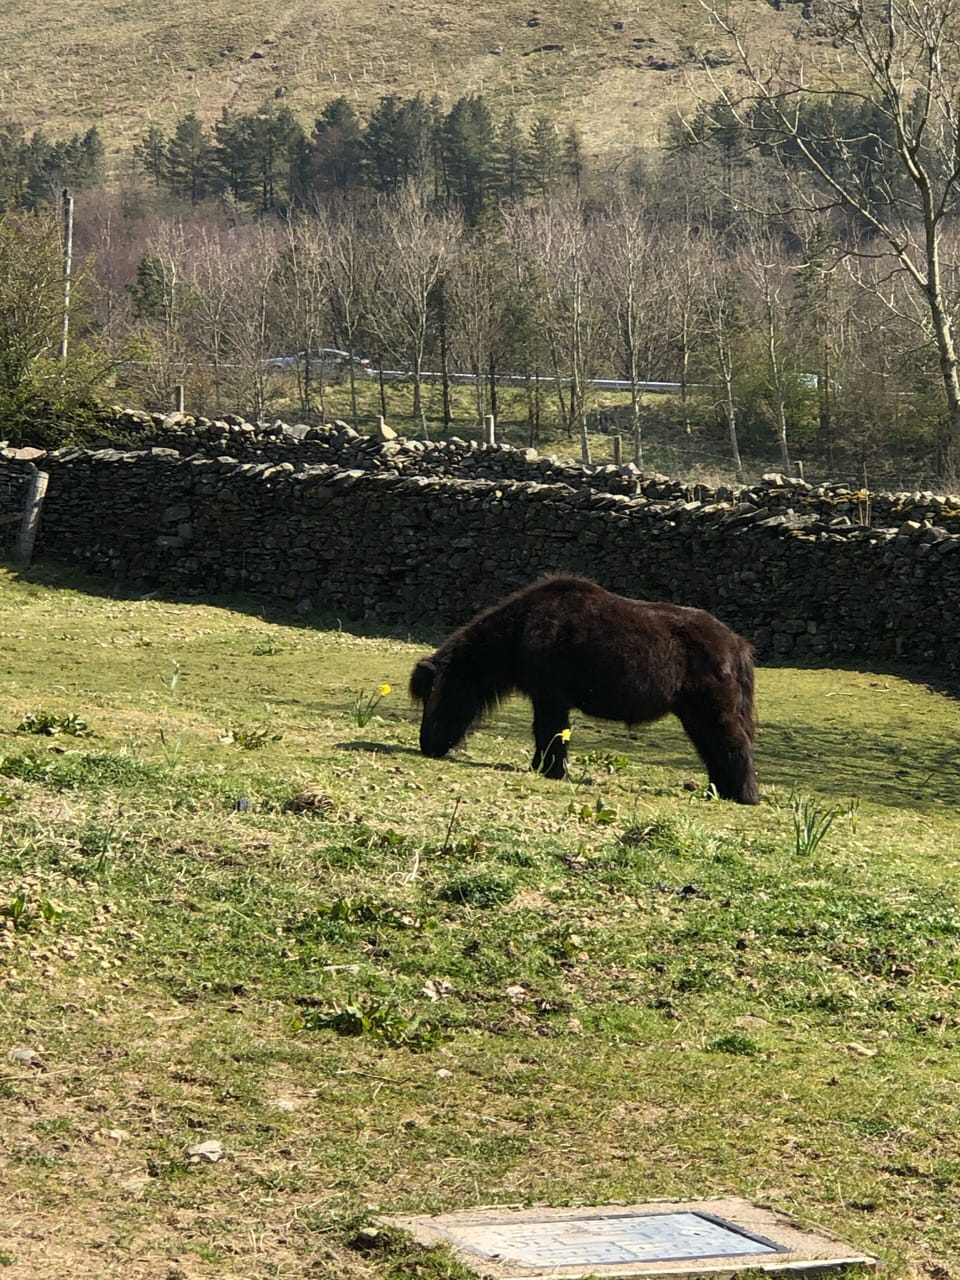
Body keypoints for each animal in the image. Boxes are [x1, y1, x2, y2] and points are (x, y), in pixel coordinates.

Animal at [409, 575, 759, 804]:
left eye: (436, 693)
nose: (427, 745)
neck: (523, 626)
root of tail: (735, 644)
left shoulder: (550, 699)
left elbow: (549, 733)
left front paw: (549, 770)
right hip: (695, 716)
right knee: (713, 749)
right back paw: (719, 792)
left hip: (713, 712)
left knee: (733, 745)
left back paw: (744, 796)